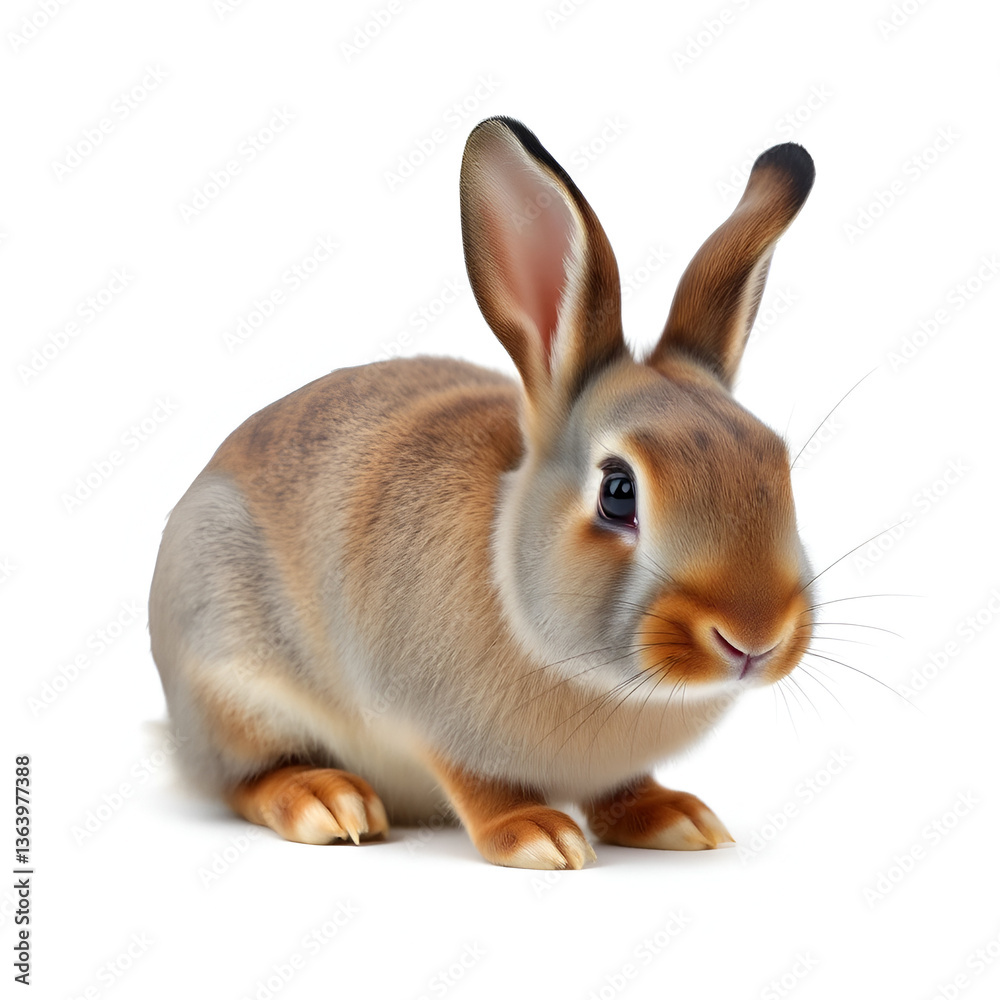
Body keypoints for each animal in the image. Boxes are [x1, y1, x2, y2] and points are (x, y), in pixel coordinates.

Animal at [149, 116, 816, 869]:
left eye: (777, 464)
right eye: (618, 492)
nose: (755, 636)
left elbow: (624, 787)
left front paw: (673, 816)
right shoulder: (432, 719)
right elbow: (479, 784)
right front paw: (537, 834)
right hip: (228, 675)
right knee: (244, 776)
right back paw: (326, 800)